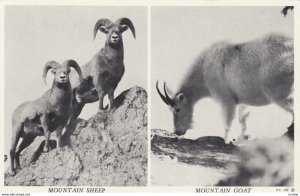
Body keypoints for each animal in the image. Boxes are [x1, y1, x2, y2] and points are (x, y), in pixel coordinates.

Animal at [157, 33, 292, 144]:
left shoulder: (226, 99)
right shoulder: (241, 101)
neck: (204, 69)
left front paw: (226, 141)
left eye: (177, 109)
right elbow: (242, 121)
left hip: (277, 91)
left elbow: (228, 122)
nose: (177, 131)